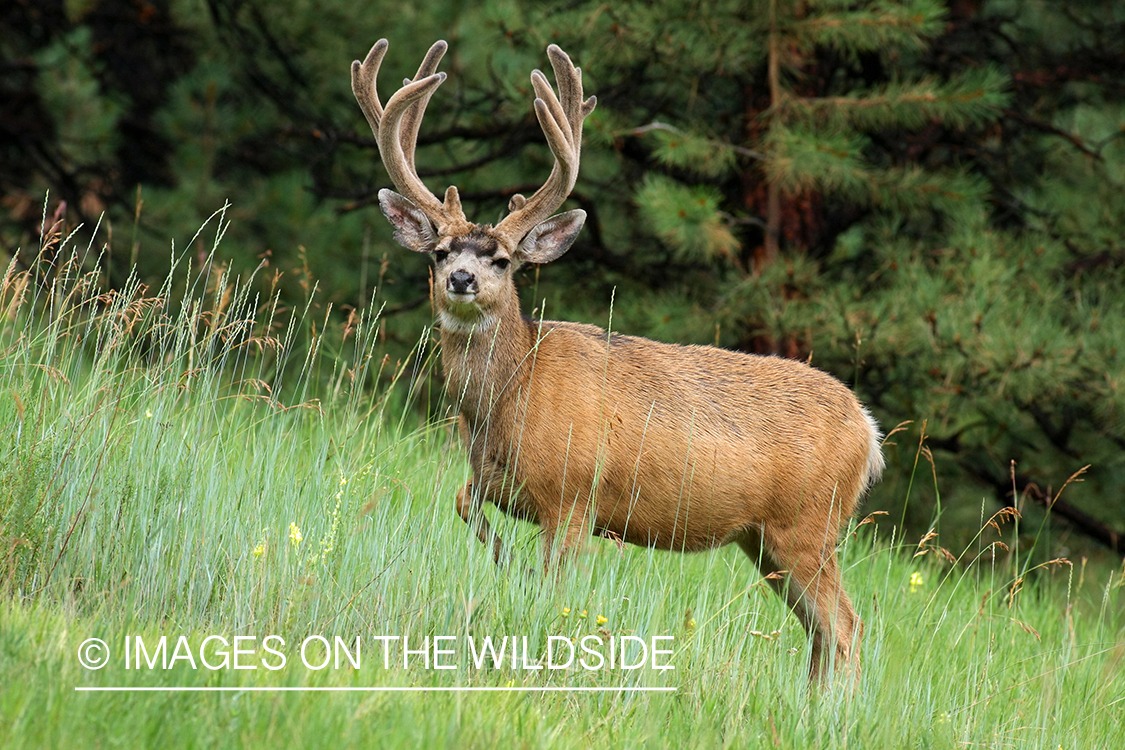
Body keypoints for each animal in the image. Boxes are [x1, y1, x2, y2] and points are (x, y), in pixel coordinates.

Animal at [353, 38, 886, 683]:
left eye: (503, 260)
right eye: (438, 252)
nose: (460, 279)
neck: (511, 397)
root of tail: (868, 430)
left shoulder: (573, 494)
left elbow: (554, 588)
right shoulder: (492, 482)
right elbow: (464, 505)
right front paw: (509, 567)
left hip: (807, 525)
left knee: (846, 627)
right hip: (765, 541)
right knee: (821, 633)